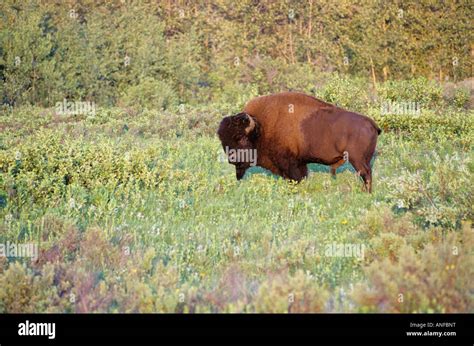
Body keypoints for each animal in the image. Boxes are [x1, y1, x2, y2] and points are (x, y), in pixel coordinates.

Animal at [216, 92, 382, 192]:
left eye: (241, 138)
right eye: (224, 141)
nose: (232, 159)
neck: (261, 128)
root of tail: (371, 124)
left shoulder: (290, 164)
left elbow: (295, 178)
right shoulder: (299, 163)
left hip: (357, 160)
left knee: (366, 174)